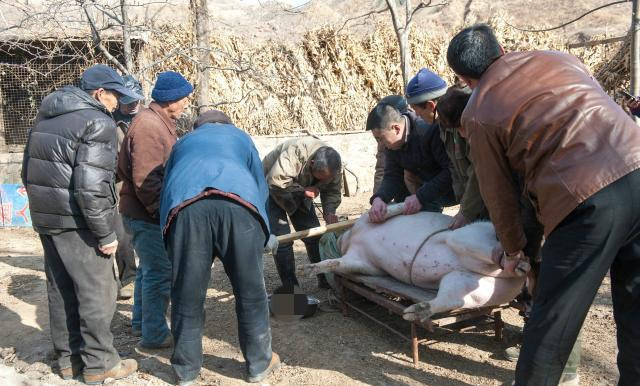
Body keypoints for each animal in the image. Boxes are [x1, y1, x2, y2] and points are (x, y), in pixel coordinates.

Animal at [298, 210, 528, 322]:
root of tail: (518, 280)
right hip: (477, 284)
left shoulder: (369, 220)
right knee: (453, 299)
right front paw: (305, 269)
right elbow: (336, 262)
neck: (350, 238)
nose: (336, 240)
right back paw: (412, 313)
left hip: (466, 238)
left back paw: (520, 263)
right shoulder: (366, 262)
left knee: (492, 254)